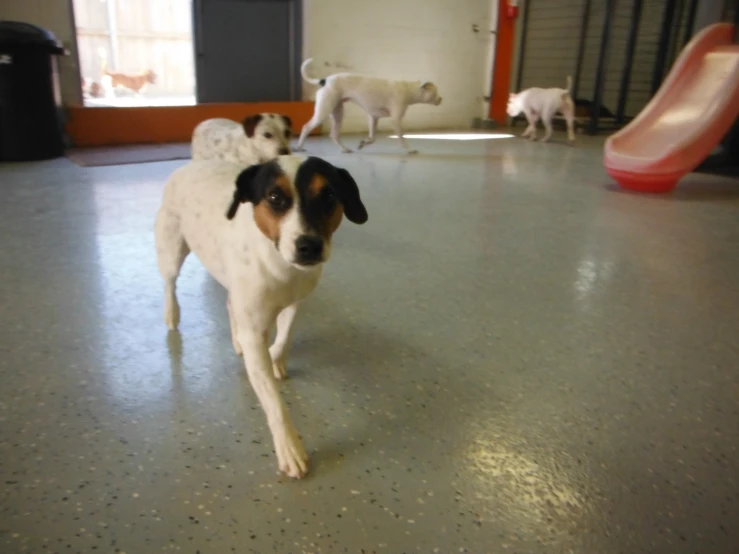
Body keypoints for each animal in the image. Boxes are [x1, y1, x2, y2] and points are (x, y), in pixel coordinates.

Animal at [155, 154, 368, 474]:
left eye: (329, 195)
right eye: (274, 197)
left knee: (231, 305)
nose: (309, 246)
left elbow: (284, 336)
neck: (281, 267)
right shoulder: (255, 330)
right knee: (170, 283)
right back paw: (172, 314)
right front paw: (290, 447)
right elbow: (274, 402)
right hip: (172, 250)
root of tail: (190, 165)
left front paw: (276, 358)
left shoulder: (294, 303)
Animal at [296, 58, 446, 154]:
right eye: (436, 92)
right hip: (323, 111)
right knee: (306, 127)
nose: (441, 99)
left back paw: (344, 149)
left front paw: (364, 143)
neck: (408, 89)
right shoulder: (395, 120)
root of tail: (325, 80)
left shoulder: (373, 118)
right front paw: (409, 149)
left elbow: (373, 138)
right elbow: (402, 138)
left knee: (334, 135)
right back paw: (299, 147)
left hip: (337, 113)